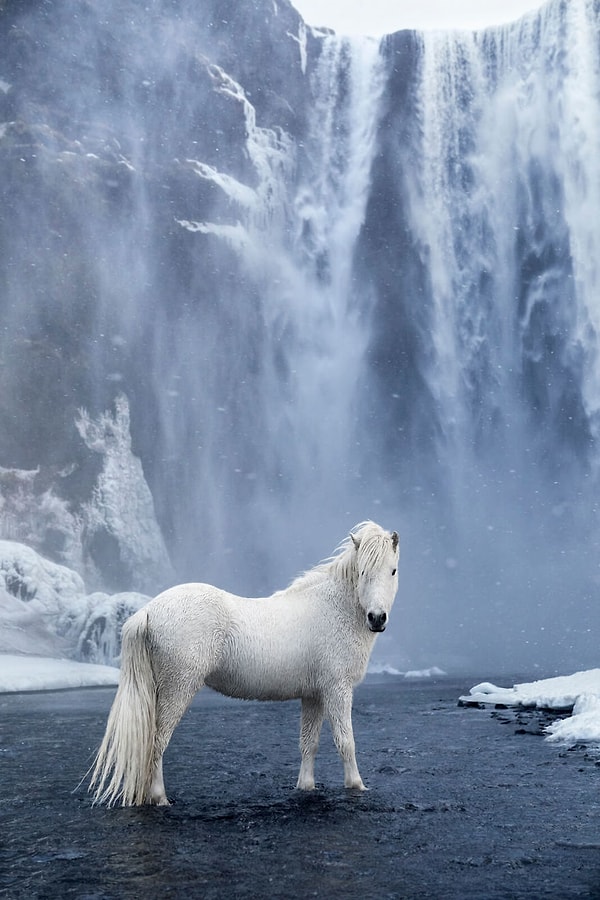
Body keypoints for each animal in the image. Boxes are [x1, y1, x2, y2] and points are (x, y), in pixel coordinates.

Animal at [89, 520, 398, 808]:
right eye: (362, 571)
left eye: (392, 571)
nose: (377, 618)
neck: (332, 609)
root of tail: (148, 610)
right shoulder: (337, 690)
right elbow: (346, 741)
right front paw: (356, 785)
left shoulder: (314, 695)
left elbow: (308, 742)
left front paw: (306, 786)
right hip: (177, 689)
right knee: (157, 741)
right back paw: (160, 798)